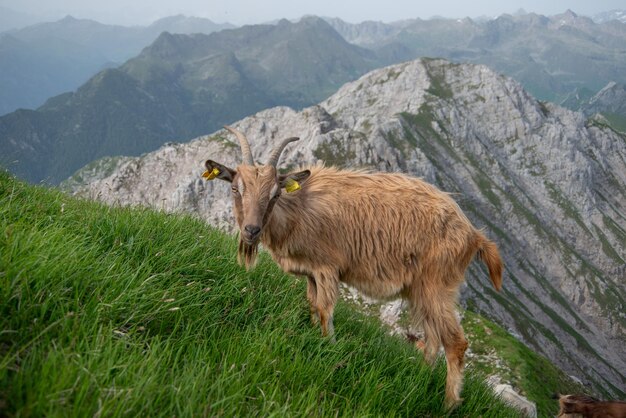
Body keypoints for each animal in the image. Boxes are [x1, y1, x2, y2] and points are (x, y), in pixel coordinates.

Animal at [205, 125, 502, 410]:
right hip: (421, 292)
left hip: (437, 285)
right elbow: (312, 306)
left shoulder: (327, 268)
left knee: (456, 343)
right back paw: (420, 379)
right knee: (432, 340)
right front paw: (314, 336)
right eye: (235, 189)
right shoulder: (311, 274)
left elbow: (325, 310)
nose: (251, 230)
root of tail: (474, 234)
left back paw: (449, 404)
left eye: (274, 194)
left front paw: (330, 349)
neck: (298, 211)